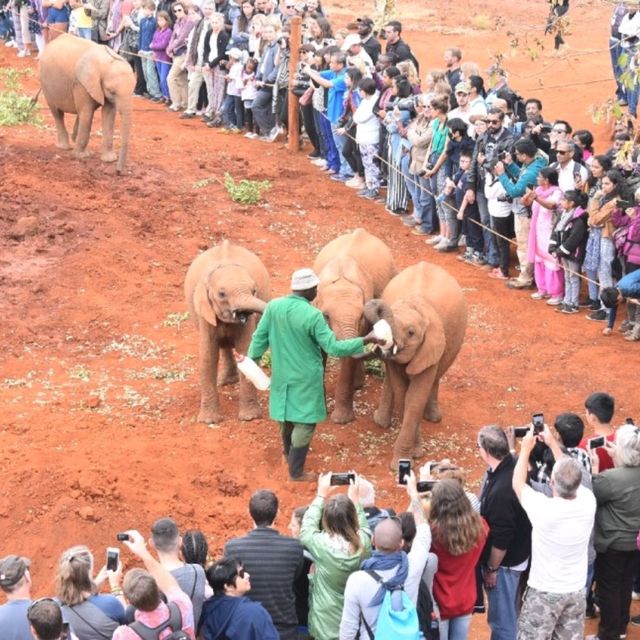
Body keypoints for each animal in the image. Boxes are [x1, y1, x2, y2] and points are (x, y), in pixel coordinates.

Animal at [38, 32, 134, 172]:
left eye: (133, 91)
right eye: (112, 92)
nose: (118, 172)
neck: (106, 62)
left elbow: (109, 115)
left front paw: (109, 159)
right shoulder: (81, 83)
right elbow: (87, 114)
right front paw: (81, 156)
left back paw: (74, 138)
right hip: (45, 83)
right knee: (58, 113)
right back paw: (64, 147)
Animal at [182, 242, 270, 422]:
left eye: (254, 291)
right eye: (222, 294)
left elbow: (246, 350)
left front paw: (249, 418)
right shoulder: (204, 312)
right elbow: (208, 356)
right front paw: (209, 421)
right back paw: (226, 383)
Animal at [314, 230, 398, 424]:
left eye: (361, 316)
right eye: (326, 316)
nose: (380, 347)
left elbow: (349, 356)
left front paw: (341, 421)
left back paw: (357, 384)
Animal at [362, 262, 468, 468]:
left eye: (411, 333)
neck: (416, 304)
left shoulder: (431, 346)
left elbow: (415, 398)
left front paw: (409, 457)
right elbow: (403, 393)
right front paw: (414, 453)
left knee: (437, 376)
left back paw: (434, 418)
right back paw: (381, 422)